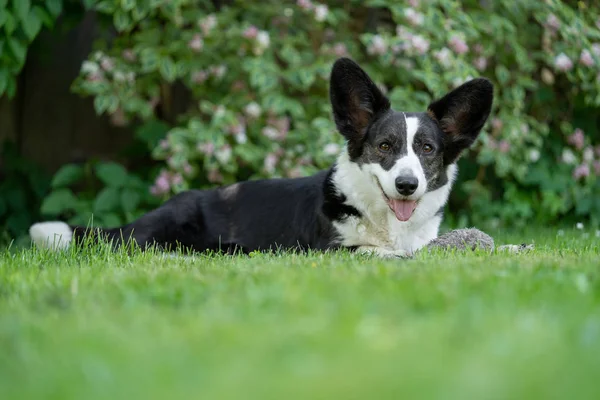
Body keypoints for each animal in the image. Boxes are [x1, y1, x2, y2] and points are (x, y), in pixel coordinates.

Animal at [28, 58, 492, 260]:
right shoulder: (331, 249)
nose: (407, 185)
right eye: (384, 146)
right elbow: (376, 253)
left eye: (427, 149)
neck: (385, 221)